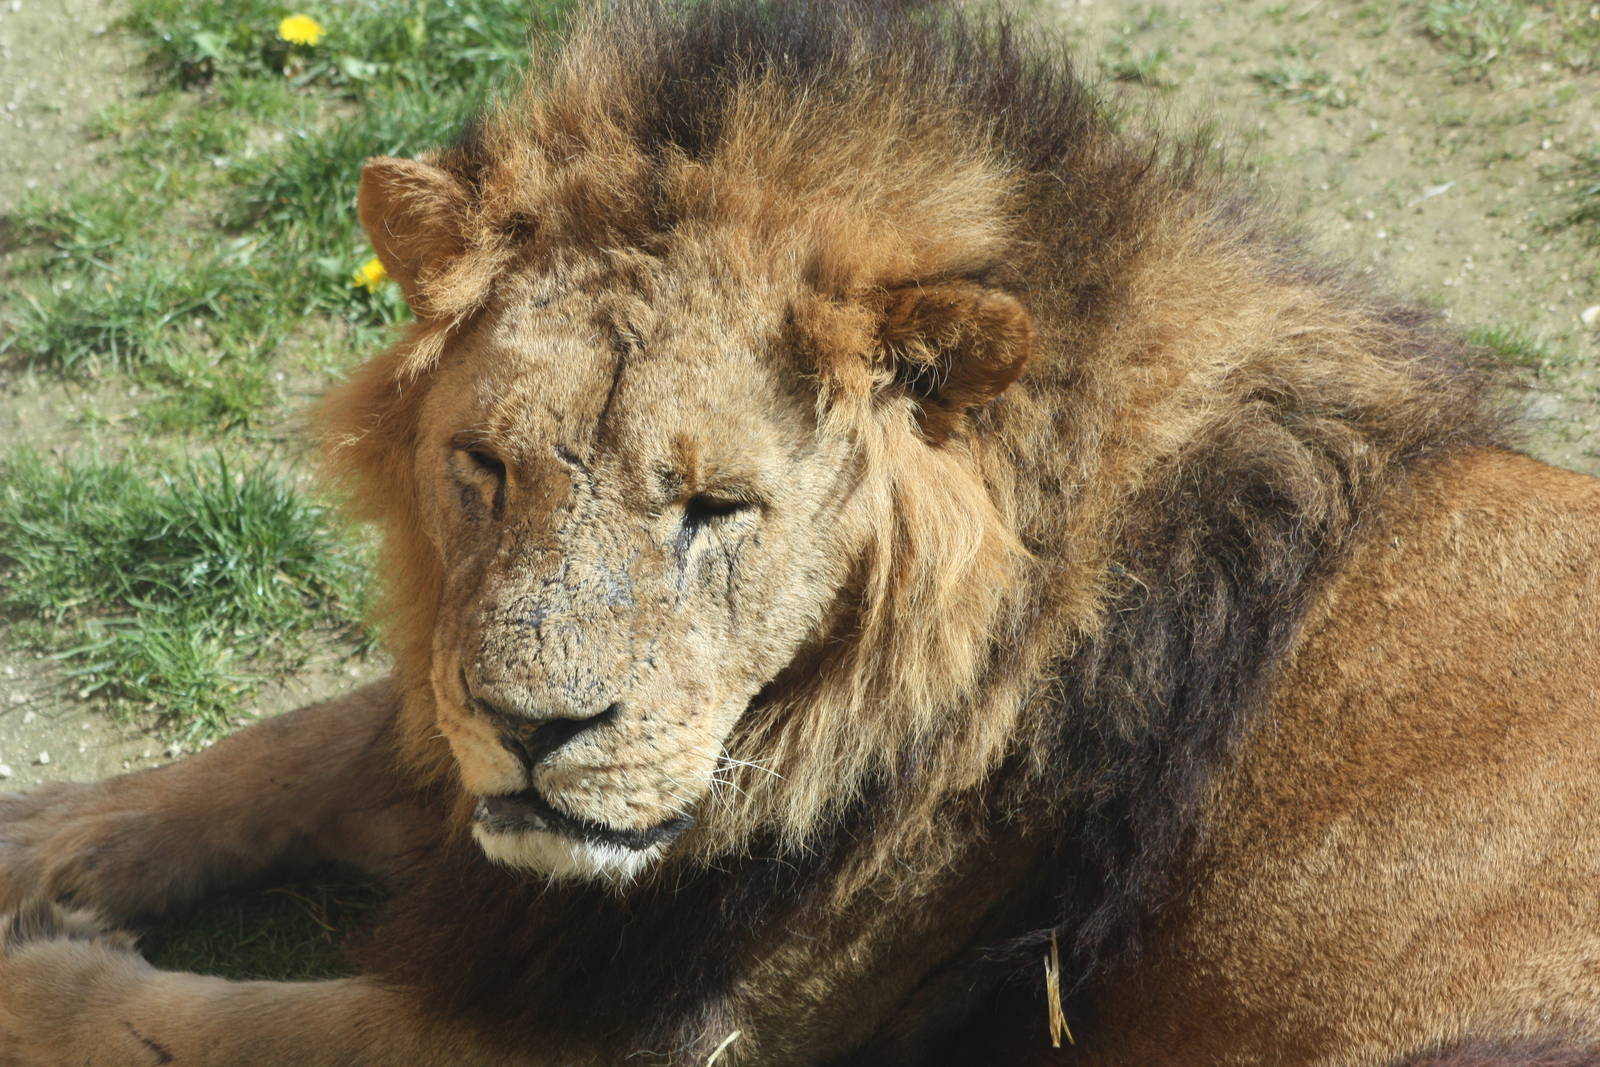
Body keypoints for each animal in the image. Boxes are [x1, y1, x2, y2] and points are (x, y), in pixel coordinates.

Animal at [3, 1, 1600, 1064]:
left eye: (717, 508)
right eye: (483, 466)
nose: (532, 730)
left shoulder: (648, 1026)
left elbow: (216, 1027)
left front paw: (39, 976)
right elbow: (302, 739)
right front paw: (49, 835)